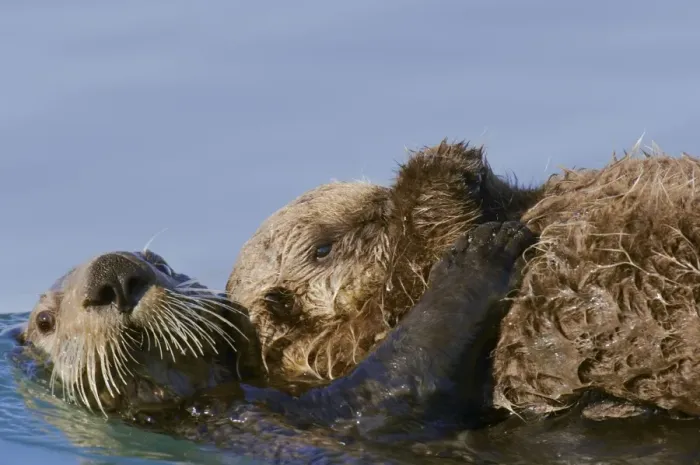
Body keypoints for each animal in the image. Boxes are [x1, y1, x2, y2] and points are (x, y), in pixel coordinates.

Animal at [227, 140, 700, 418]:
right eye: (323, 249)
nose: (382, 202)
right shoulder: (357, 340)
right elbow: (421, 261)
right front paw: (434, 172)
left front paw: (459, 165)